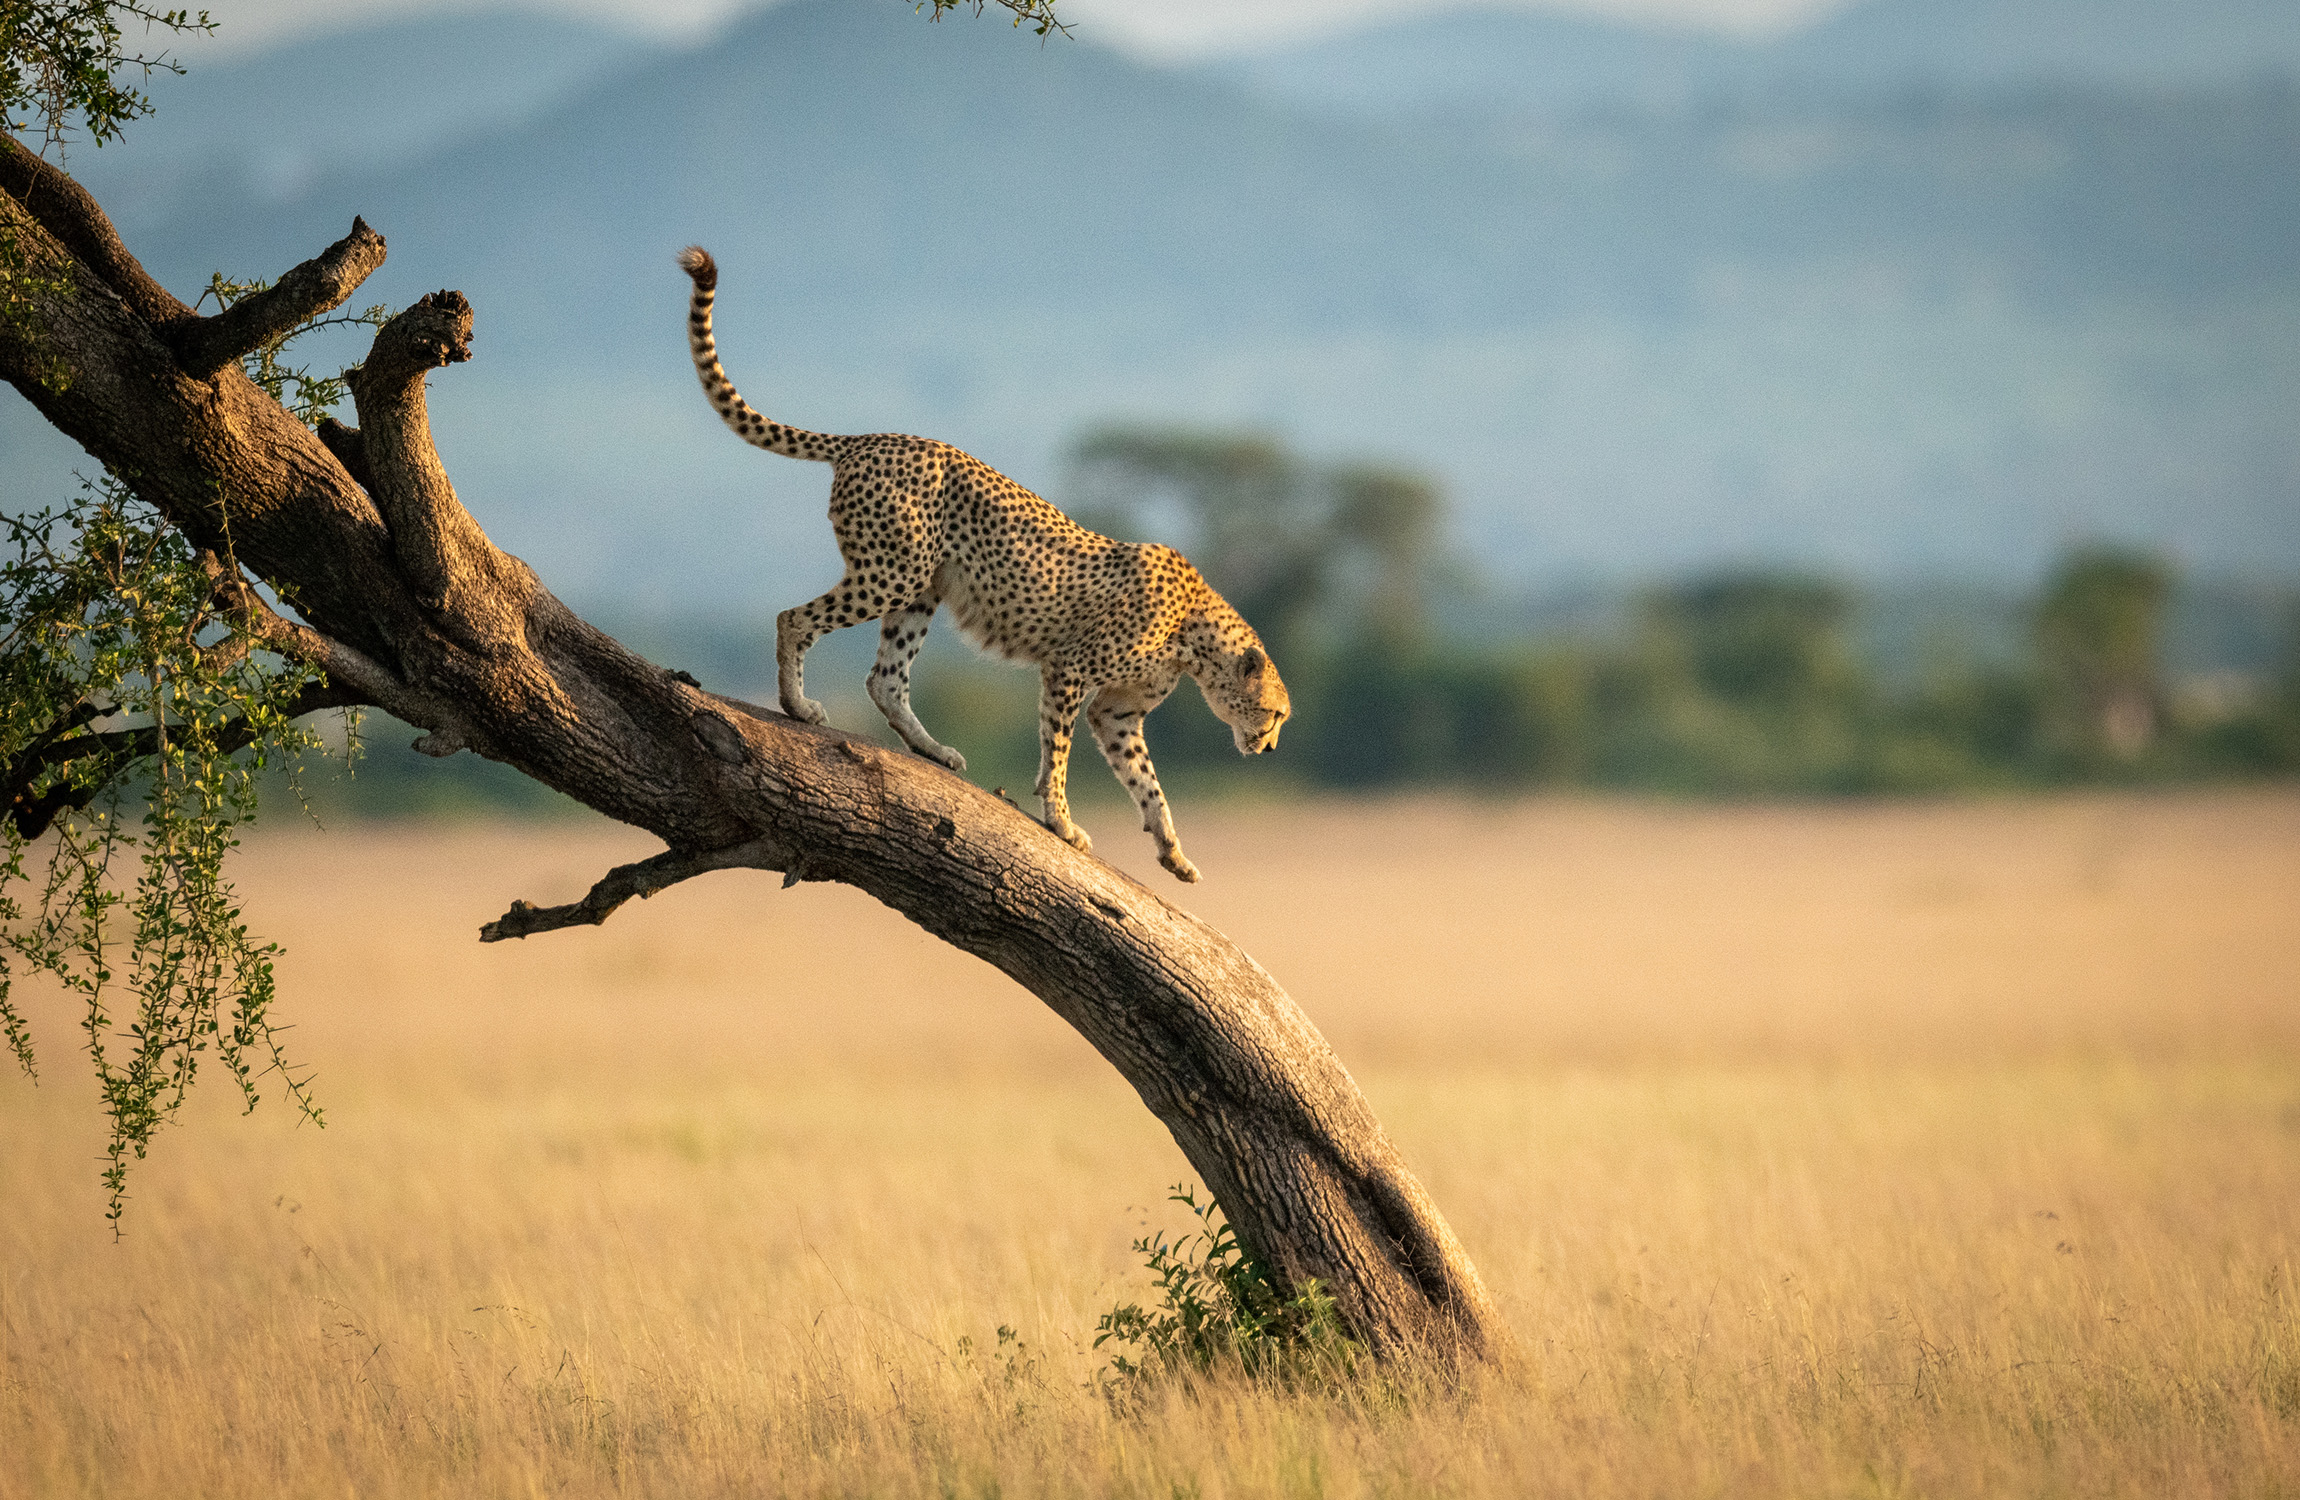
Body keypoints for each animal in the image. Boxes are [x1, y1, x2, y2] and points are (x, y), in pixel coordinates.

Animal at [677, 246, 1289, 883]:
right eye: (1273, 715)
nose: (1268, 747)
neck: (1196, 634)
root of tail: (871, 438)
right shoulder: (1069, 669)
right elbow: (1059, 752)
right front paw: (1061, 821)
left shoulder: (1118, 712)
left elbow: (1147, 781)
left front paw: (1172, 850)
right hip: (891, 573)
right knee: (794, 619)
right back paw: (797, 706)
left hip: (920, 588)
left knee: (885, 678)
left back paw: (932, 750)